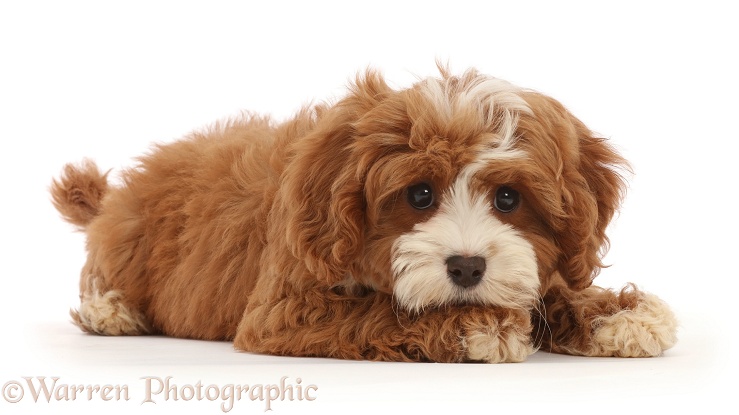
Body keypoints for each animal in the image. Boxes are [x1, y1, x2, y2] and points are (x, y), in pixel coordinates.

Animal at [50, 66, 676, 362]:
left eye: (508, 199)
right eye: (419, 195)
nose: (467, 269)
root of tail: (120, 193)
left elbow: (551, 292)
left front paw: (621, 315)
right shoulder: (283, 309)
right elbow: (377, 315)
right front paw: (482, 326)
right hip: (123, 244)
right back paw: (111, 310)